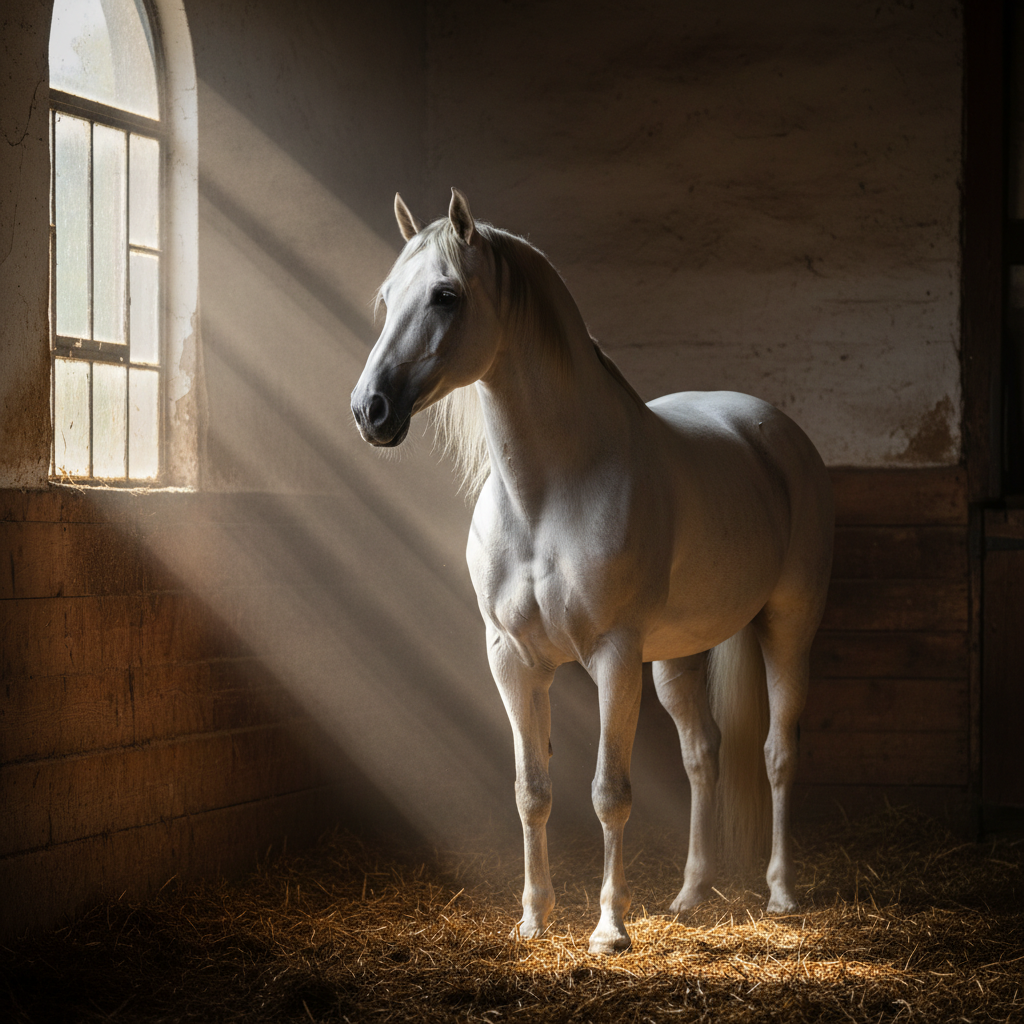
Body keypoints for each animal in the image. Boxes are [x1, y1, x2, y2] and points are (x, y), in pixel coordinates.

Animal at [351, 189, 834, 954]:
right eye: (387, 296)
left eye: (446, 295)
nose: (370, 410)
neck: (550, 495)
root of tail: (773, 430)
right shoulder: (512, 659)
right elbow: (533, 791)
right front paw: (533, 919)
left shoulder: (613, 657)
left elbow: (610, 794)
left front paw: (609, 930)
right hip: (678, 659)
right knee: (703, 755)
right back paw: (690, 896)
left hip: (788, 626)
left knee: (778, 753)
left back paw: (782, 892)